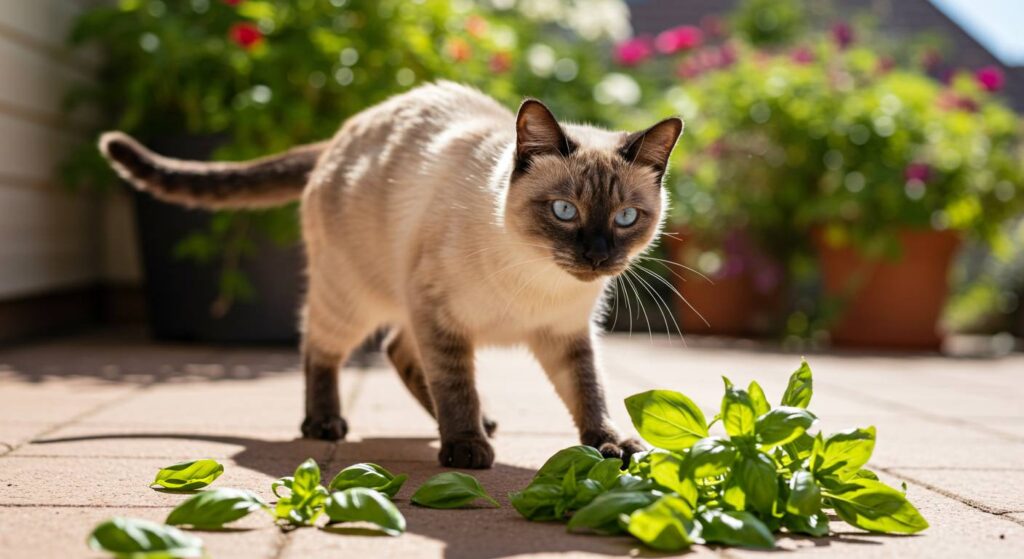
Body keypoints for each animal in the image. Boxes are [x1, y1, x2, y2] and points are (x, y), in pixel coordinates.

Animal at [101, 80, 679, 466]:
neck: (538, 280)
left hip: (399, 302)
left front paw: (612, 445)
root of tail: (342, 132)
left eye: (626, 218)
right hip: (354, 297)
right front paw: (466, 448)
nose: (597, 257)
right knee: (320, 345)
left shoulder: (565, 335)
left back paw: (482, 422)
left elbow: (589, 392)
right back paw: (327, 424)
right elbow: (455, 385)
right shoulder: (440, 316)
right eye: (564, 211)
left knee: (396, 349)